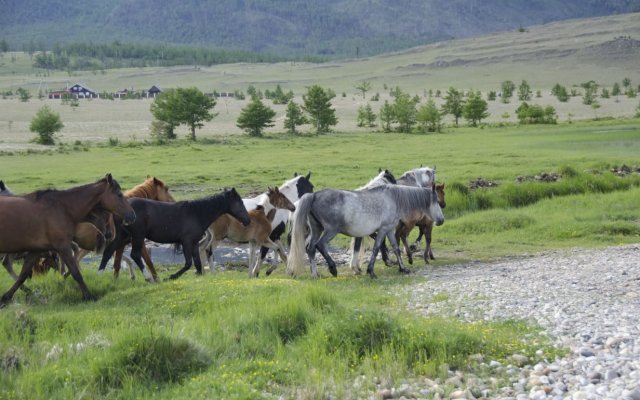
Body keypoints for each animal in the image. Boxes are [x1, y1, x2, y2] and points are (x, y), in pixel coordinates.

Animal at [0, 173, 135, 308]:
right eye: (119, 194)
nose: (132, 215)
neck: (63, 209)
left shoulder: (37, 250)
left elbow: (23, 274)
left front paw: (6, 297)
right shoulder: (63, 247)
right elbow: (76, 273)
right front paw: (89, 296)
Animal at [99, 189, 251, 280]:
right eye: (239, 202)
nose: (248, 220)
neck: (196, 213)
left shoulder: (194, 243)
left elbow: (197, 263)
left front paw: (199, 275)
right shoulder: (186, 242)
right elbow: (188, 263)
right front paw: (172, 277)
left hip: (122, 236)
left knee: (108, 252)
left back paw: (100, 274)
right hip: (137, 236)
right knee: (134, 255)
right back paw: (149, 278)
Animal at [286, 184, 444, 278]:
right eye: (436, 201)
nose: (441, 220)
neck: (393, 199)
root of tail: (314, 195)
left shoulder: (390, 230)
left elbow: (396, 248)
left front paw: (403, 268)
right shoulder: (383, 230)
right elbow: (377, 248)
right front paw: (371, 271)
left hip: (317, 229)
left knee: (311, 248)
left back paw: (315, 274)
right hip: (331, 230)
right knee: (320, 245)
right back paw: (332, 269)